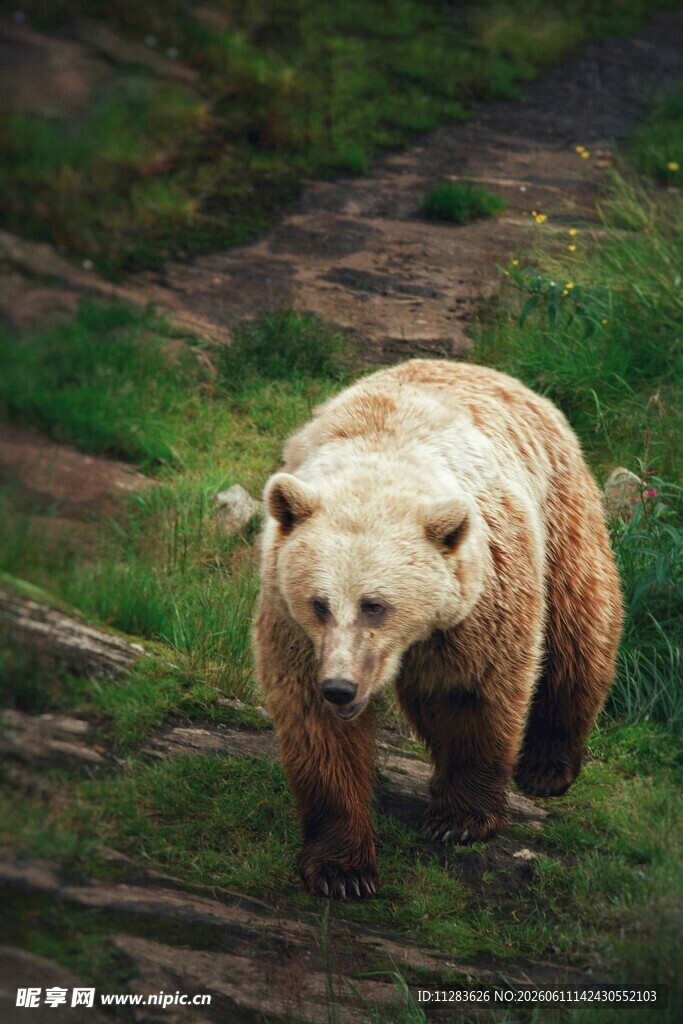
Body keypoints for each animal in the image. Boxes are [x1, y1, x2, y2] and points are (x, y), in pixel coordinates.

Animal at [254, 359, 623, 898]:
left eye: (375, 605)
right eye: (319, 604)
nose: (341, 687)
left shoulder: (480, 598)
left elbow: (474, 690)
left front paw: (462, 818)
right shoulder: (293, 625)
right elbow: (316, 730)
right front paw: (343, 868)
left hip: (561, 514)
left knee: (580, 628)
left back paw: (548, 764)